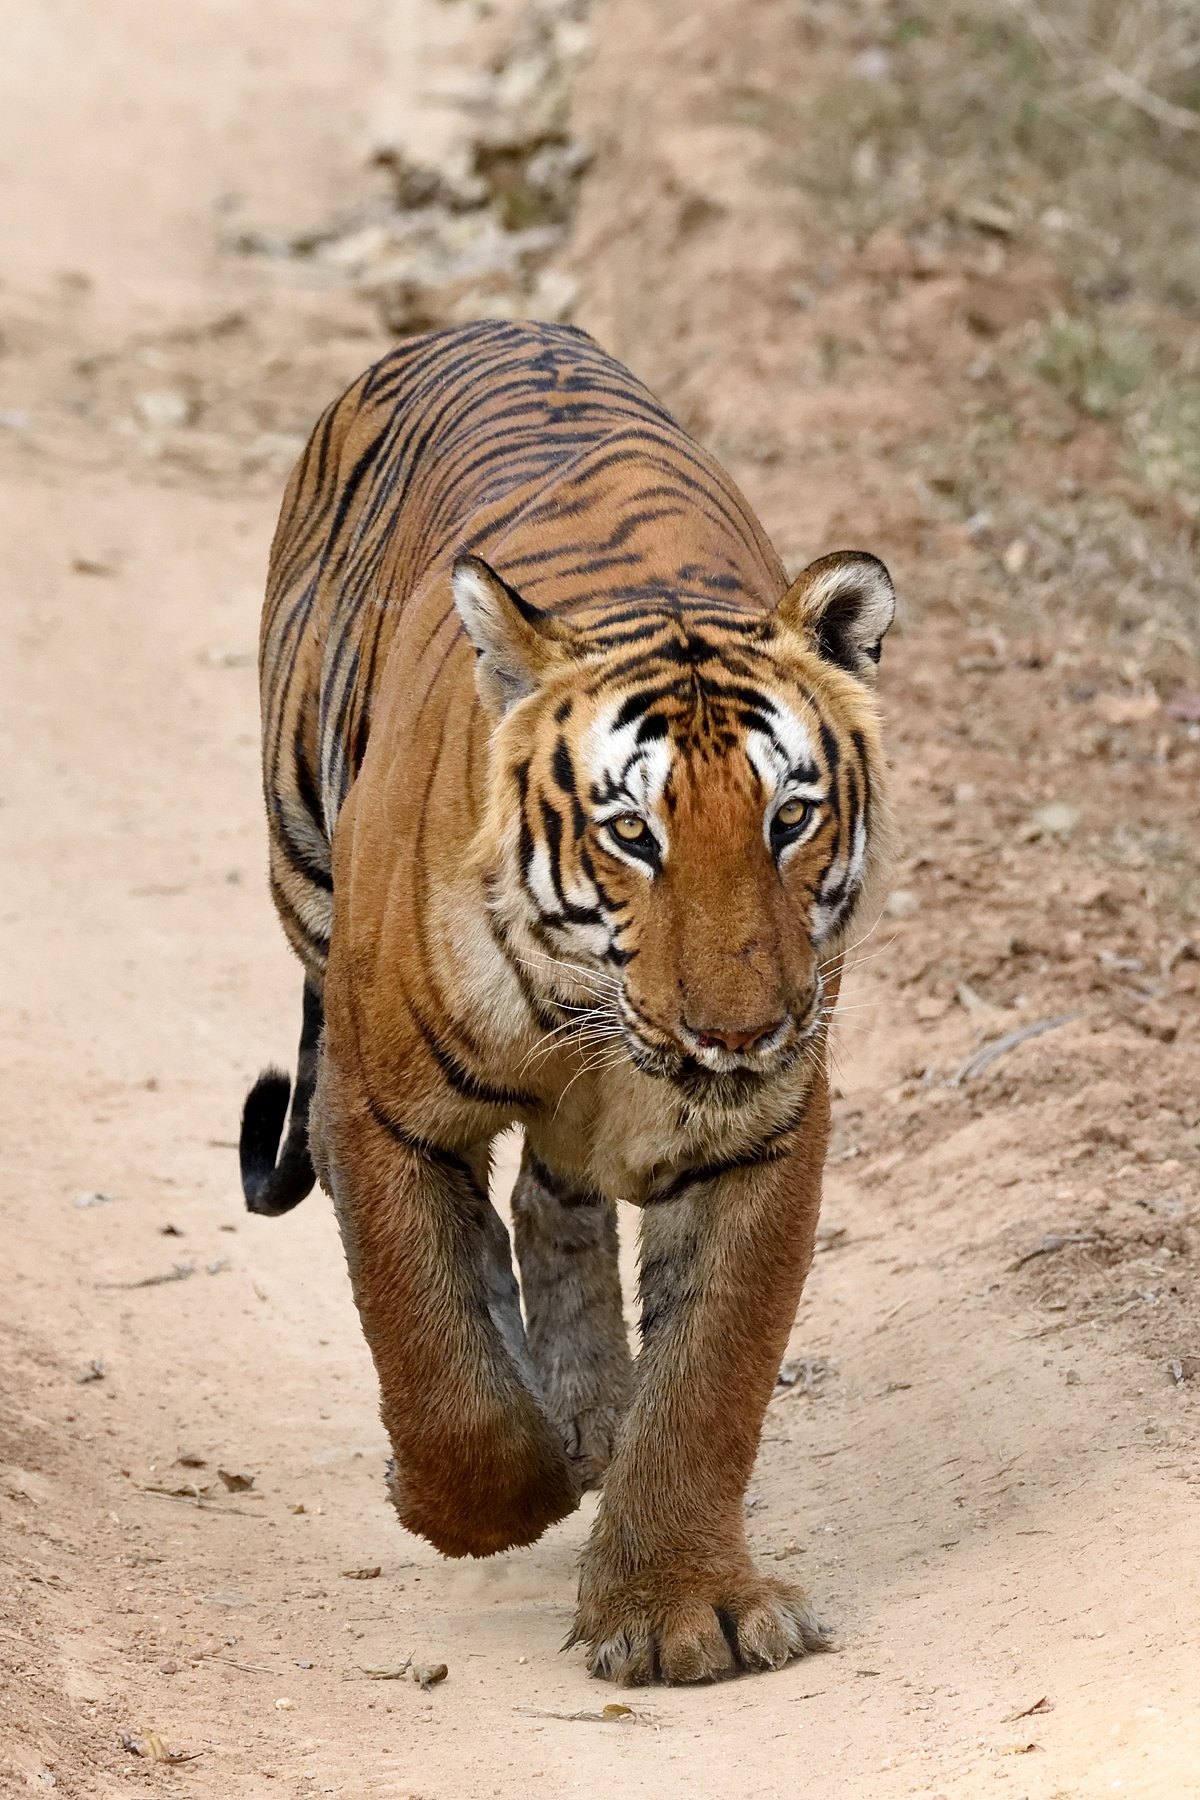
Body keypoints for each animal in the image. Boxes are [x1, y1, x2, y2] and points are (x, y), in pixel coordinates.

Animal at [239, 318, 894, 1685]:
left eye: (790, 819)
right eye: (633, 832)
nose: (741, 1031)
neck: (594, 1023)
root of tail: (483, 320)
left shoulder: (766, 1137)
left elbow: (711, 1379)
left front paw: (682, 1609)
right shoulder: (377, 1109)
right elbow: (433, 1349)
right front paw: (486, 1497)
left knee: (553, 1200)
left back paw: (590, 1408)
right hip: (302, 867)